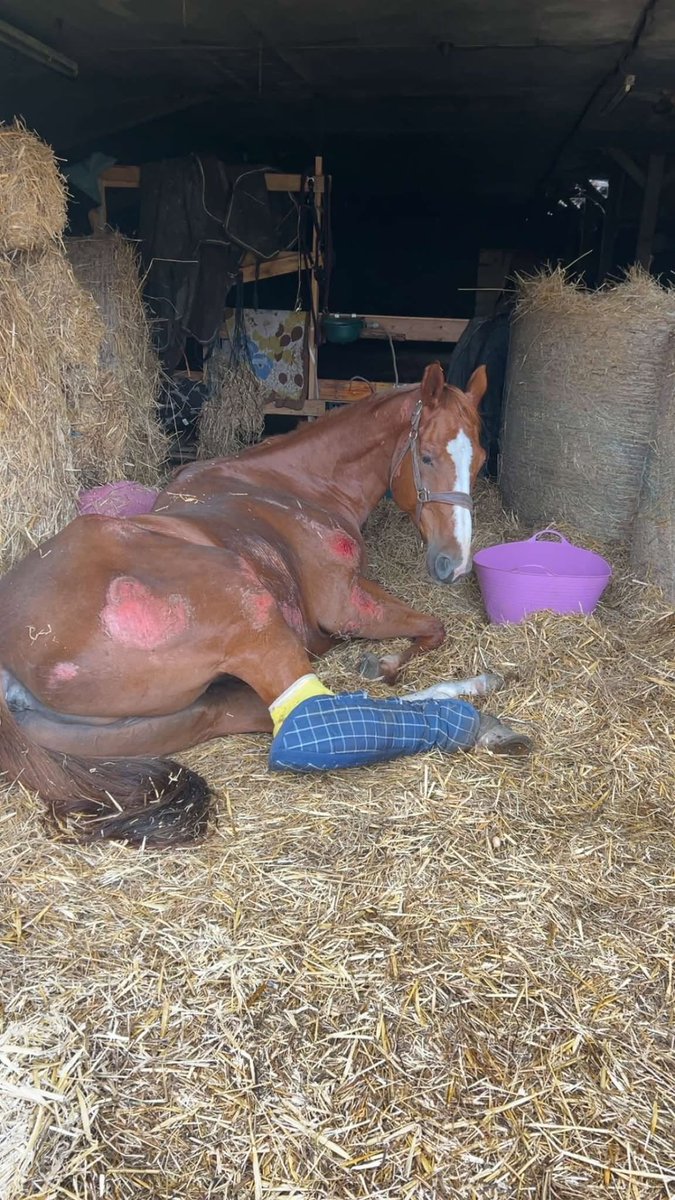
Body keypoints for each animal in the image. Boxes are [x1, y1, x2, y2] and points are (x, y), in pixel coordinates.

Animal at [0, 361, 491, 848]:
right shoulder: (343, 606)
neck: (293, 486)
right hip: (250, 610)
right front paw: (388, 663)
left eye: (482, 461)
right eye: (427, 457)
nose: (456, 564)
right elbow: (433, 627)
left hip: (170, 721)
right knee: (311, 716)